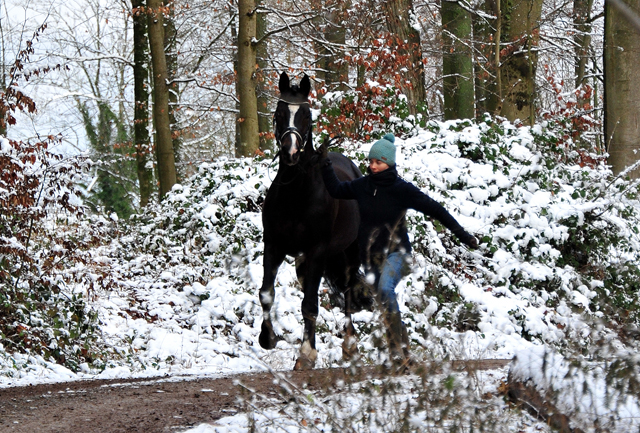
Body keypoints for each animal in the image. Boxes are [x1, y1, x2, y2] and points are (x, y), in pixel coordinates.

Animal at [258, 71, 370, 368]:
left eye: (306, 115)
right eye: (279, 113)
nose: (291, 152)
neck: (297, 192)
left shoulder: (317, 251)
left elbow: (309, 305)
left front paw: (306, 354)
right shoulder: (273, 246)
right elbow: (266, 294)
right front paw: (267, 338)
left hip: (348, 254)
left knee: (347, 294)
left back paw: (350, 346)